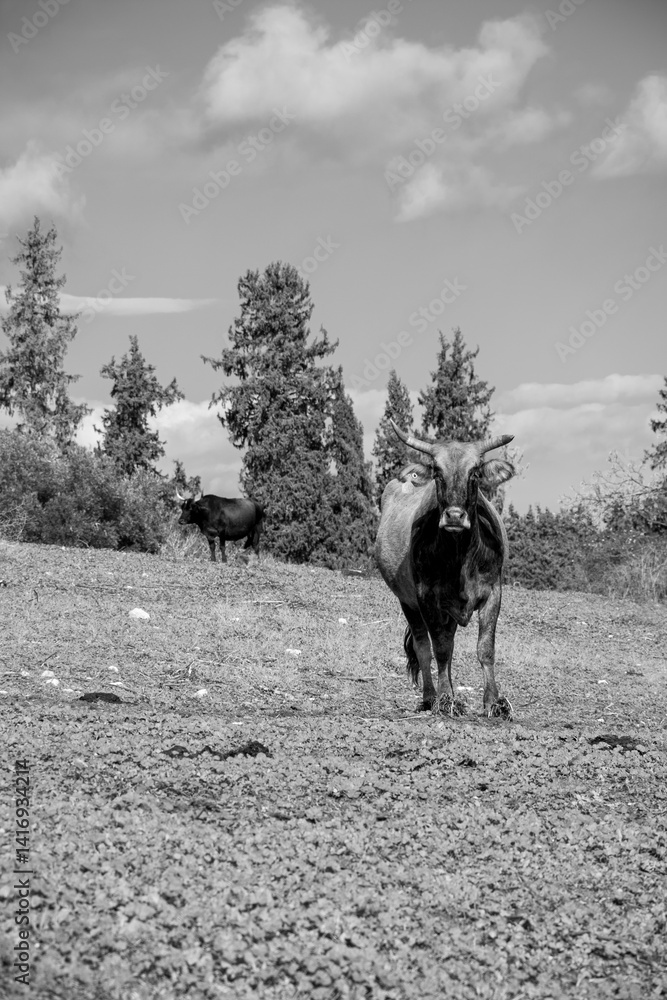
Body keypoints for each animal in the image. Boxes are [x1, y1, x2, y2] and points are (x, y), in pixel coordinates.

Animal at [375, 420, 515, 717]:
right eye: (438, 473)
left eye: (475, 473)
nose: (454, 516)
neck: (460, 557)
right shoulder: (426, 597)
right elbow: (438, 649)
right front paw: (446, 699)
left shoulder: (493, 593)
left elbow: (485, 649)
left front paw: (493, 702)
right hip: (408, 602)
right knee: (425, 647)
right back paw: (432, 696)